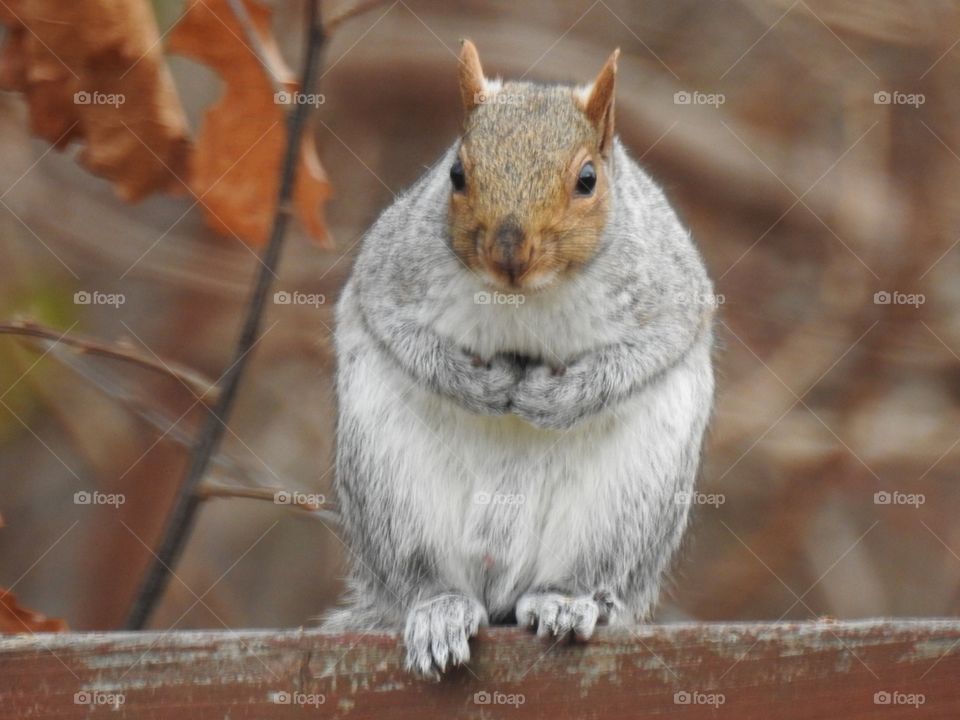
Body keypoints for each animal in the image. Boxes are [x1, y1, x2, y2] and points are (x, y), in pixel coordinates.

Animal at [322, 40, 716, 679]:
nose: (509, 251)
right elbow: (404, 337)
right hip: (391, 486)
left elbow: (643, 353)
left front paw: (553, 398)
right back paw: (440, 612)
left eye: (587, 179)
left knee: (583, 573)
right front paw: (479, 386)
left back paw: (564, 603)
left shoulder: (671, 295)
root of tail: (500, 590)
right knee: (422, 577)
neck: (524, 296)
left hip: (625, 505)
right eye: (456, 173)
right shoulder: (389, 277)